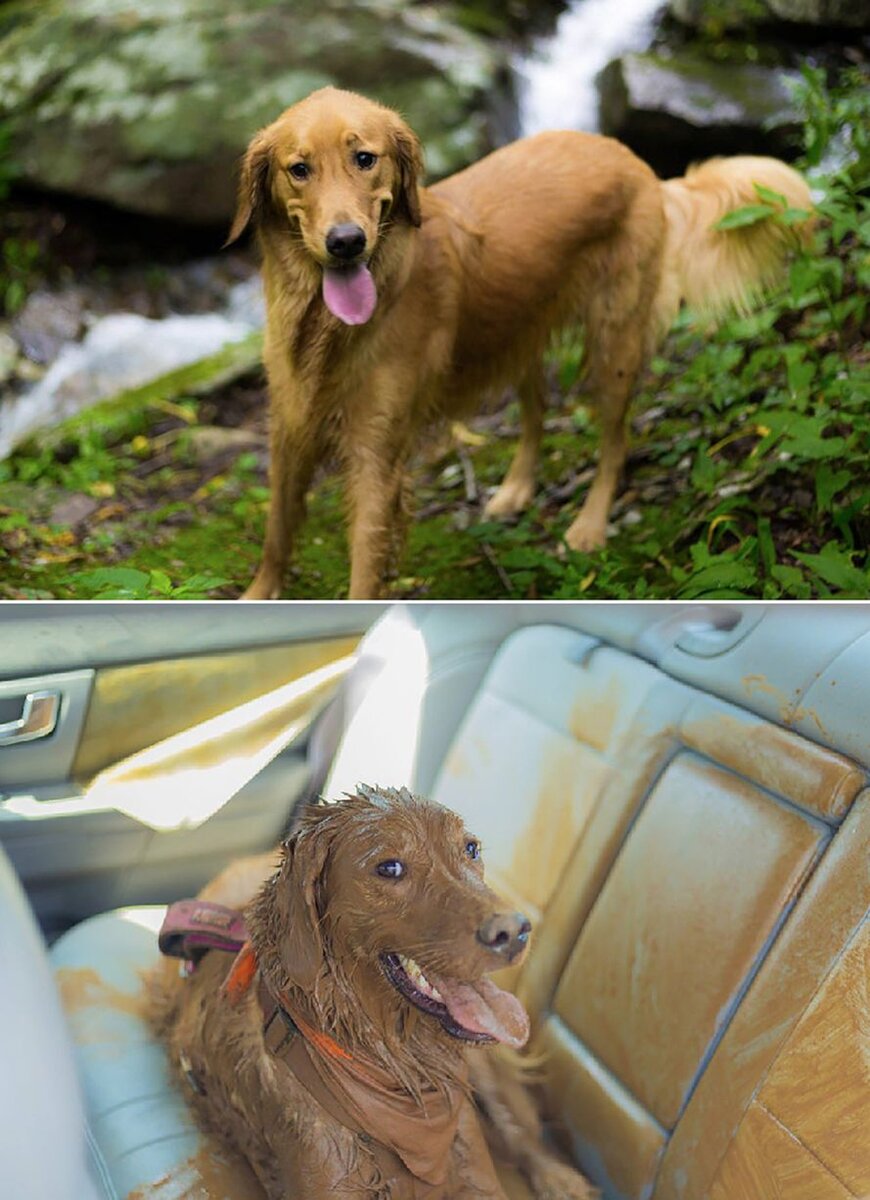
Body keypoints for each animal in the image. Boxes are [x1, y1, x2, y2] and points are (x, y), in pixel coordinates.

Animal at [234, 85, 811, 595]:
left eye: (364, 158)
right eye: (299, 169)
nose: (346, 242)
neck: (327, 327)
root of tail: (639, 164)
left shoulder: (376, 455)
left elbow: (364, 566)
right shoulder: (289, 427)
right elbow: (277, 530)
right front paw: (257, 597)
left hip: (614, 343)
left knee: (615, 439)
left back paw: (590, 525)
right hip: (520, 329)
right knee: (538, 408)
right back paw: (516, 488)